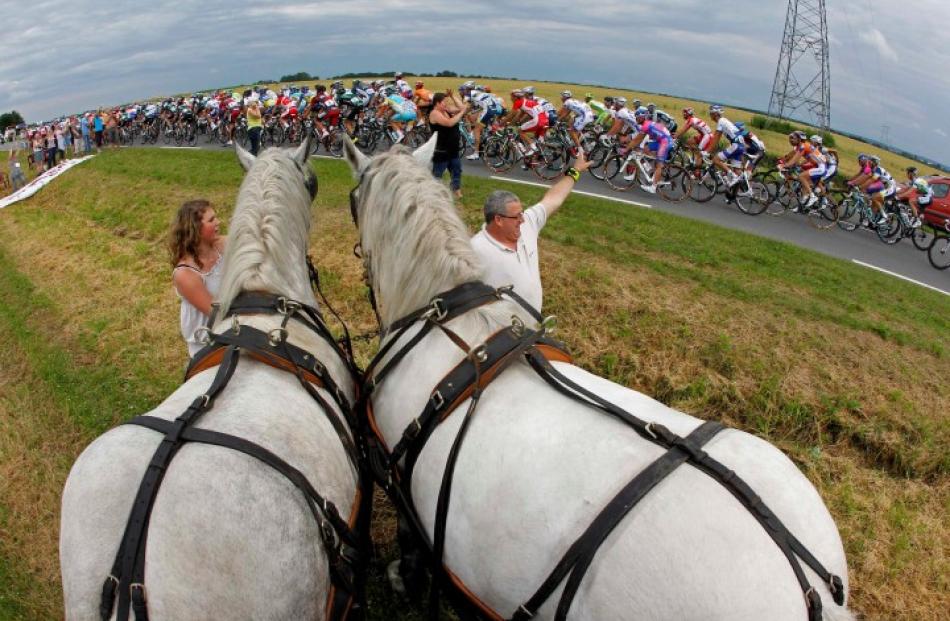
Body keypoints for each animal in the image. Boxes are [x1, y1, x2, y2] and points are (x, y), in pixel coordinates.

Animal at [344, 140, 856, 620]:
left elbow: (409, 540)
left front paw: (403, 578)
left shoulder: (398, 474)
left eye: (353, 199)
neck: (451, 314)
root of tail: (806, 587)